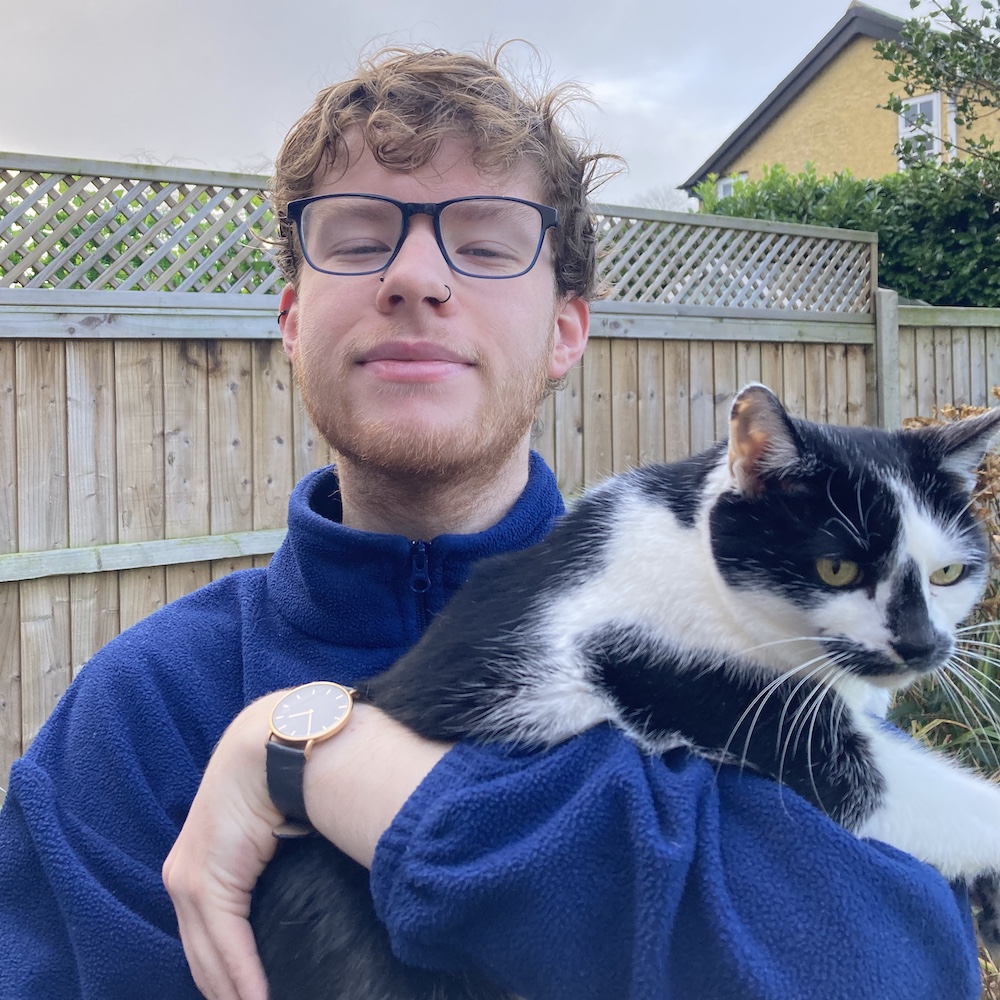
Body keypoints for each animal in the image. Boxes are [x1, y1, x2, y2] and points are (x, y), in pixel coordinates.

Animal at [246, 384, 1000, 1000]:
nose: (921, 644)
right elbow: (889, 788)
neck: (695, 558)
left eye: (948, 573)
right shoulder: (671, 671)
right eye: (837, 568)